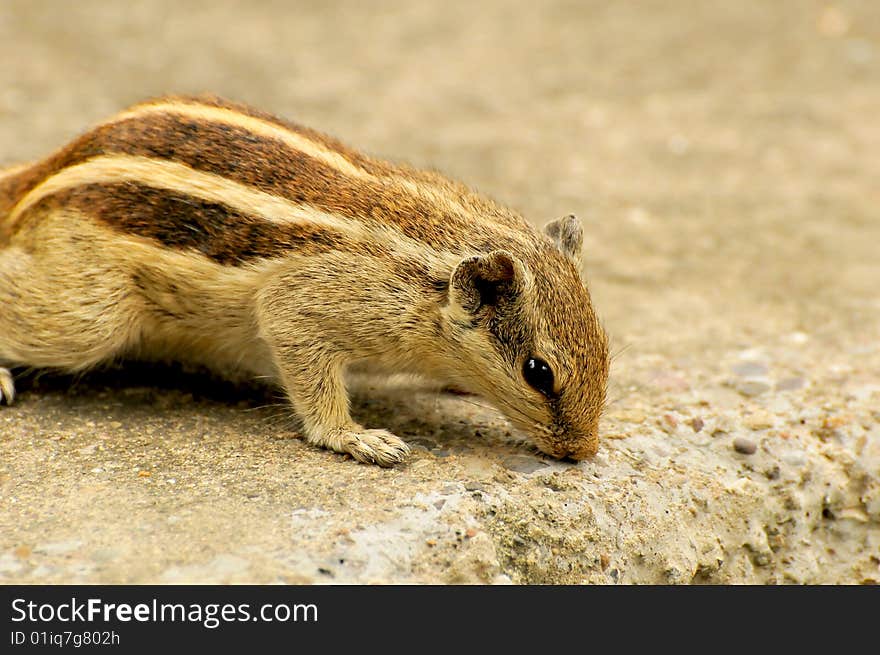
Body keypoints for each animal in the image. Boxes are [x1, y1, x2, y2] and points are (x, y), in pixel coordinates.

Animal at [0, 96, 608, 466]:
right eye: (538, 373)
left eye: (605, 351)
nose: (584, 451)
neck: (429, 267)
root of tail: (42, 171)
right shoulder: (307, 303)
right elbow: (310, 373)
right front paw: (357, 438)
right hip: (88, 314)